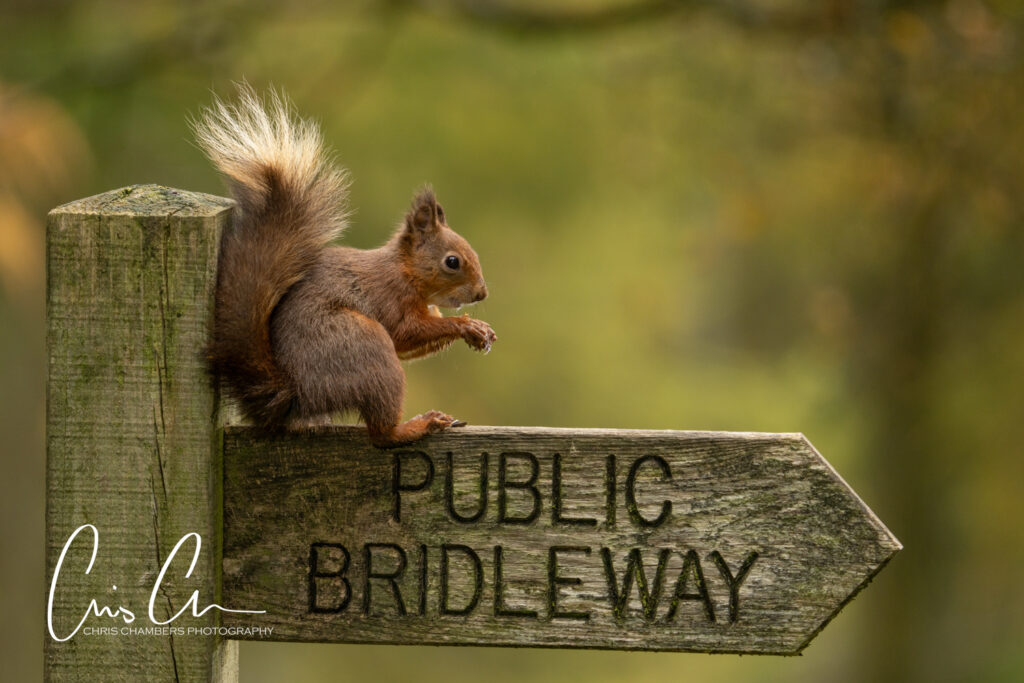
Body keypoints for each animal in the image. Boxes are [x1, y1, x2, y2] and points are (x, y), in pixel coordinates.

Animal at [193, 86, 496, 447]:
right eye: (452, 262)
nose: (481, 294)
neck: (405, 273)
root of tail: (298, 394)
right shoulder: (388, 298)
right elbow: (405, 332)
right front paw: (465, 325)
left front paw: (479, 331)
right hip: (365, 348)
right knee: (382, 434)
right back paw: (419, 425)